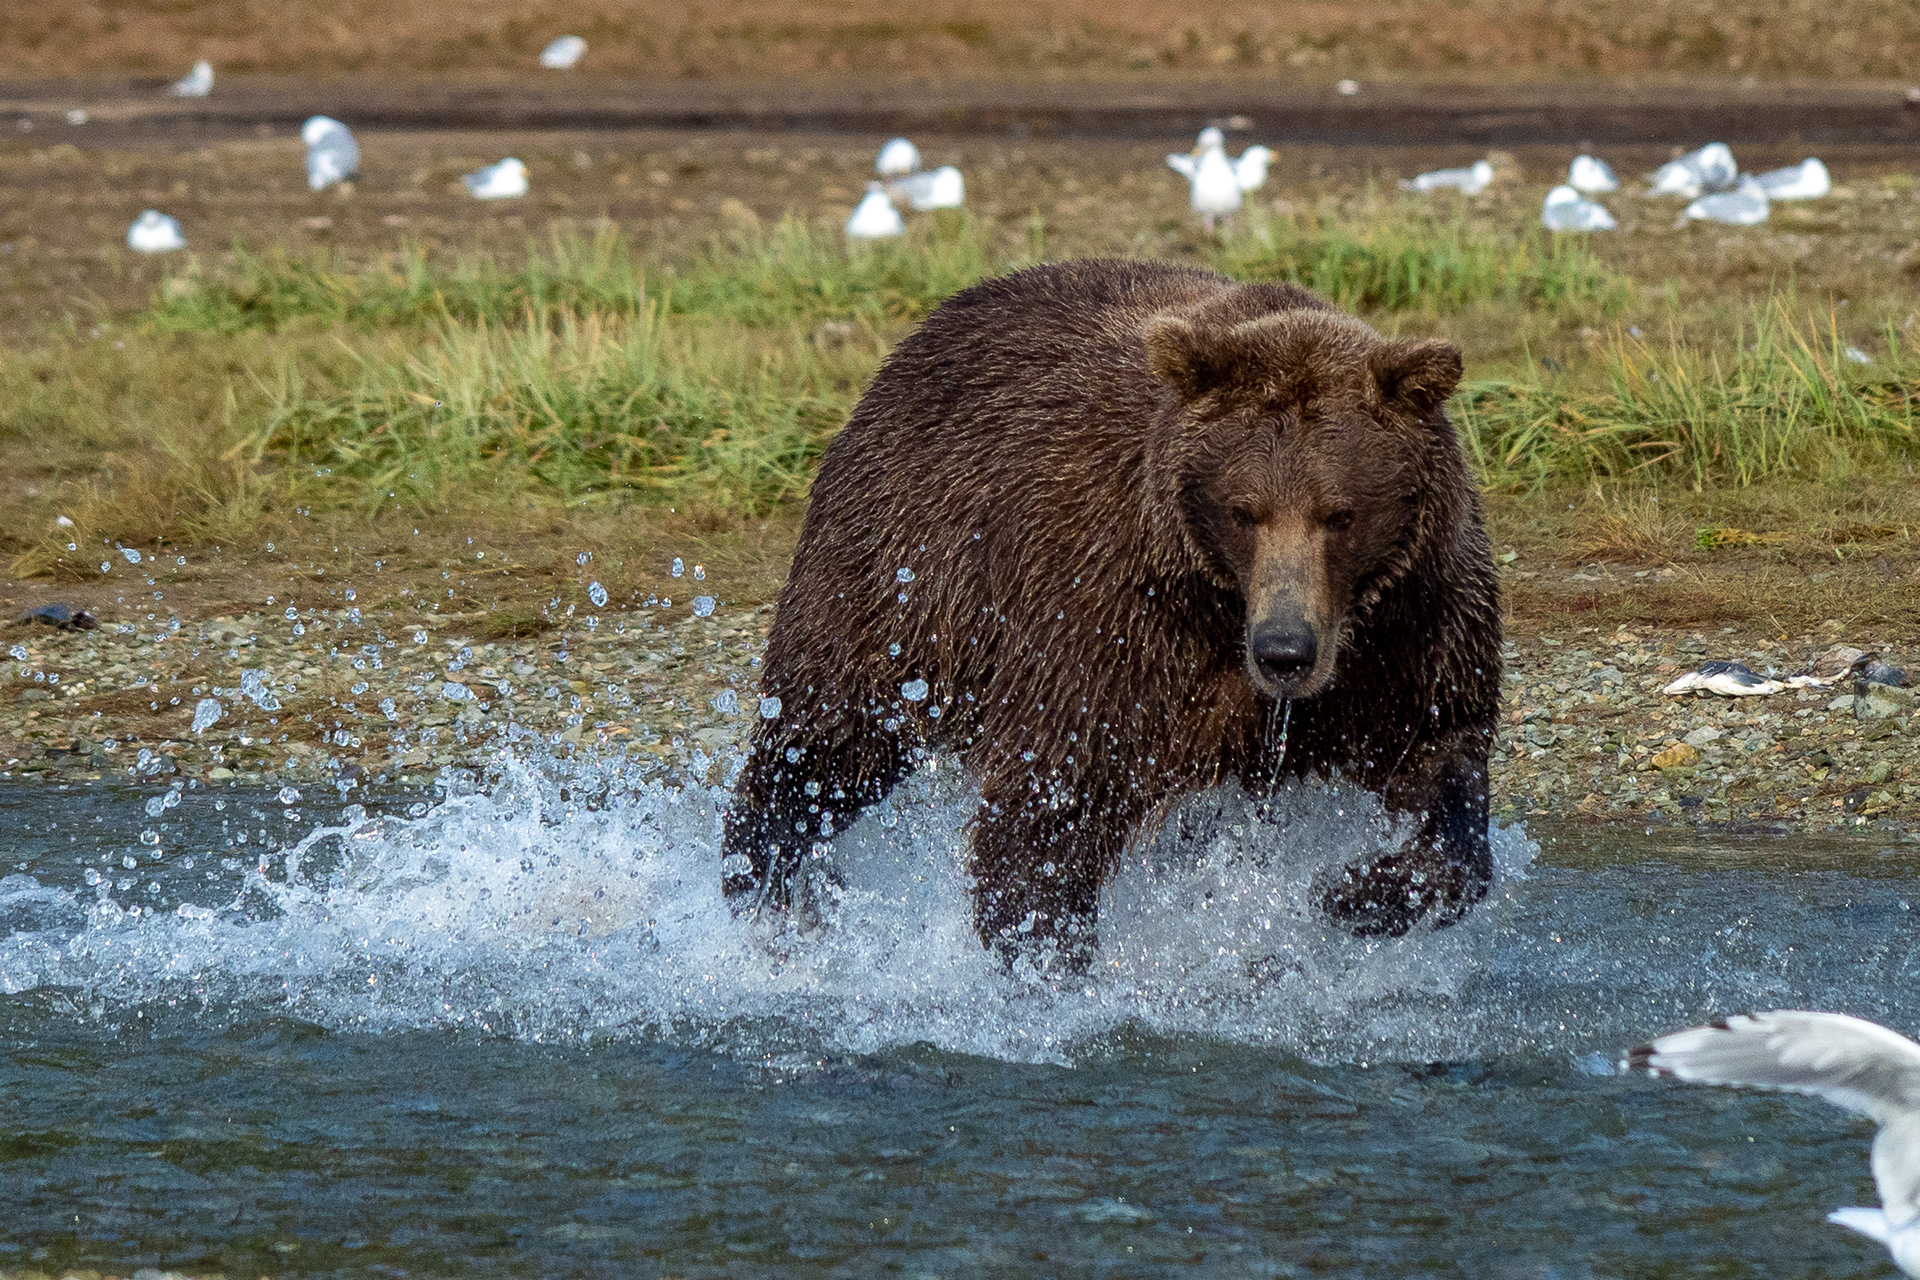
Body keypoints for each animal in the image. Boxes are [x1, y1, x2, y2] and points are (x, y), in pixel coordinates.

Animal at [720, 258, 1502, 968]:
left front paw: (1355, 892)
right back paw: (765, 888)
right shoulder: (1115, 626)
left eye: (1340, 514)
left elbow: (1440, 757)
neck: (1220, 604)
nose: (1284, 650)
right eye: (1244, 510)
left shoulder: (1407, 630)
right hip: (900, 577)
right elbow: (1051, 809)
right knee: (823, 743)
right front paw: (1046, 960)